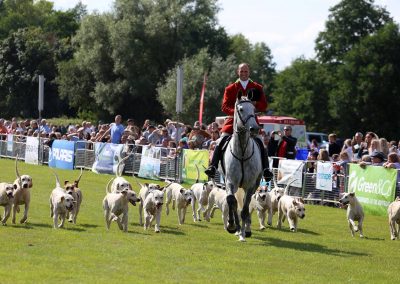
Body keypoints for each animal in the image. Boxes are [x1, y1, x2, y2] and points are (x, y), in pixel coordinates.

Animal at [222, 92, 262, 241]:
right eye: (241, 109)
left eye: (254, 109)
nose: (254, 128)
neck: (242, 152)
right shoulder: (230, 182)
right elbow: (231, 201)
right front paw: (232, 225)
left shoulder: (250, 185)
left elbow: (245, 209)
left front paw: (244, 233)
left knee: (246, 203)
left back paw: (246, 229)